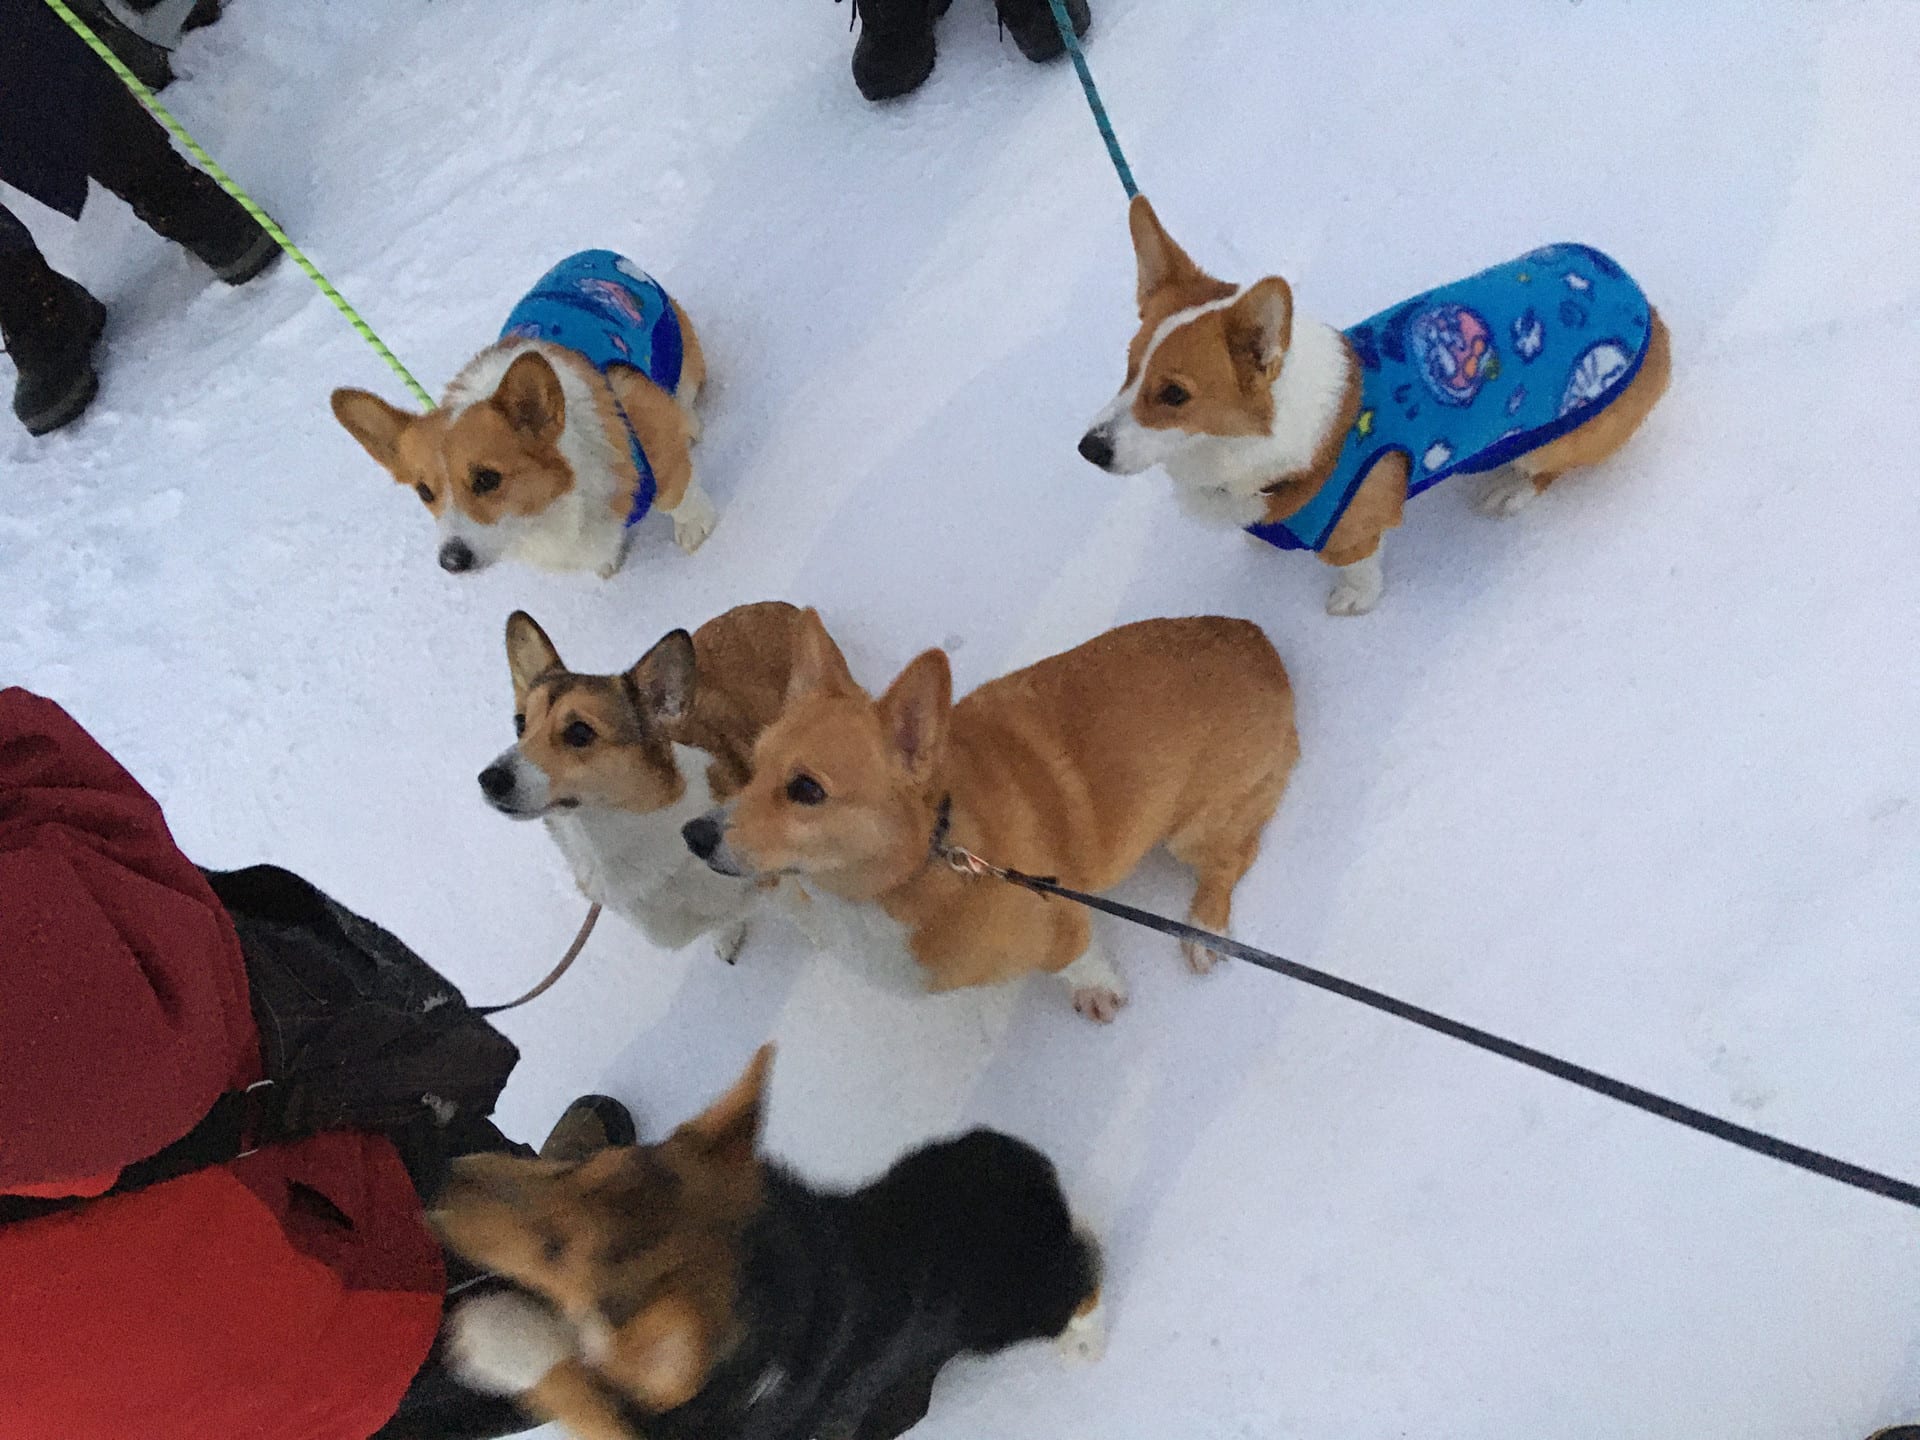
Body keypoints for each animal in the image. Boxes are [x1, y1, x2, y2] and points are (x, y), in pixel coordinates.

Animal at [330, 249, 721, 579]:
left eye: (487, 479)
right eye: (424, 491)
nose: (452, 562)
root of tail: (595, 253)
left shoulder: (645, 421)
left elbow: (676, 494)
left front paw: (696, 529)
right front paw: (609, 560)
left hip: (675, 347)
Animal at [432, 1052, 1098, 1440]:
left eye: (554, 1251)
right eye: (580, 1166)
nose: (443, 1177)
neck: (764, 1280)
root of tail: (1046, 1221)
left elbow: (570, 1382)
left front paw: (500, 1335)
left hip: (1022, 1309)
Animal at [483, 602, 806, 963]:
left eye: (580, 732)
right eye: (520, 723)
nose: (489, 779)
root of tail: (777, 606)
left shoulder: (780, 887)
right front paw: (727, 935)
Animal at [683, 610, 1297, 1029]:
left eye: (806, 789)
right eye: (753, 766)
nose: (693, 835)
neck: (932, 856)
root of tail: (1260, 644)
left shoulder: (1062, 922)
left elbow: (1078, 960)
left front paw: (1097, 991)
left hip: (1190, 833)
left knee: (1234, 857)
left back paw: (1204, 929)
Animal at [1082, 195, 1666, 614]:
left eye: (1175, 395)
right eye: (1129, 366)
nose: (1089, 450)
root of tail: (1652, 314)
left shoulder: (1354, 528)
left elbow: (1358, 567)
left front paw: (1353, 599)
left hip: (1557, 440)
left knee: (1548, 469)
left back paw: (1509, 491)